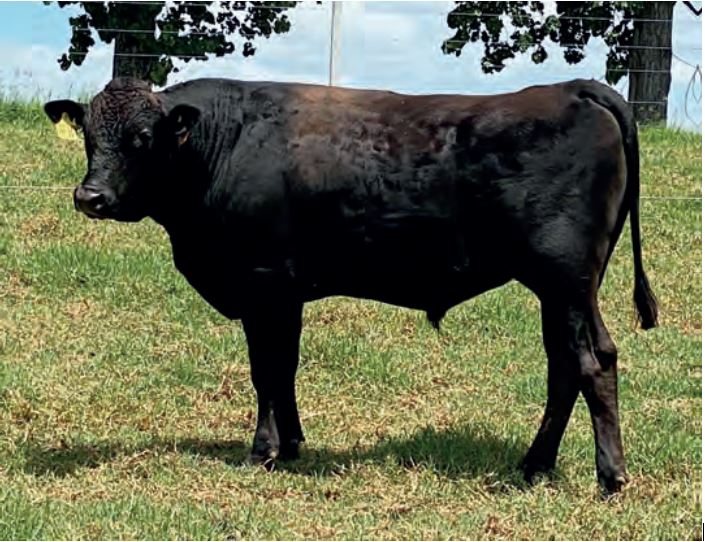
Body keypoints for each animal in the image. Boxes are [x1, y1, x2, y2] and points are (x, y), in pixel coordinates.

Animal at [44, 76, 658, 493]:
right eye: (89, 136)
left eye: (144, 138)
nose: (90, 196)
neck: (222, 146)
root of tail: (574, 88)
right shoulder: (285, 294)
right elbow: (284, 369)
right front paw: (291, 443)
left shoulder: (263, 285)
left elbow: (266, 370)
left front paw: (263, 451)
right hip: (567, 291)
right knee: (570, 365)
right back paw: (534, 466)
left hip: (564, 277)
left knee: (590, 364)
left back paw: (610, 477)